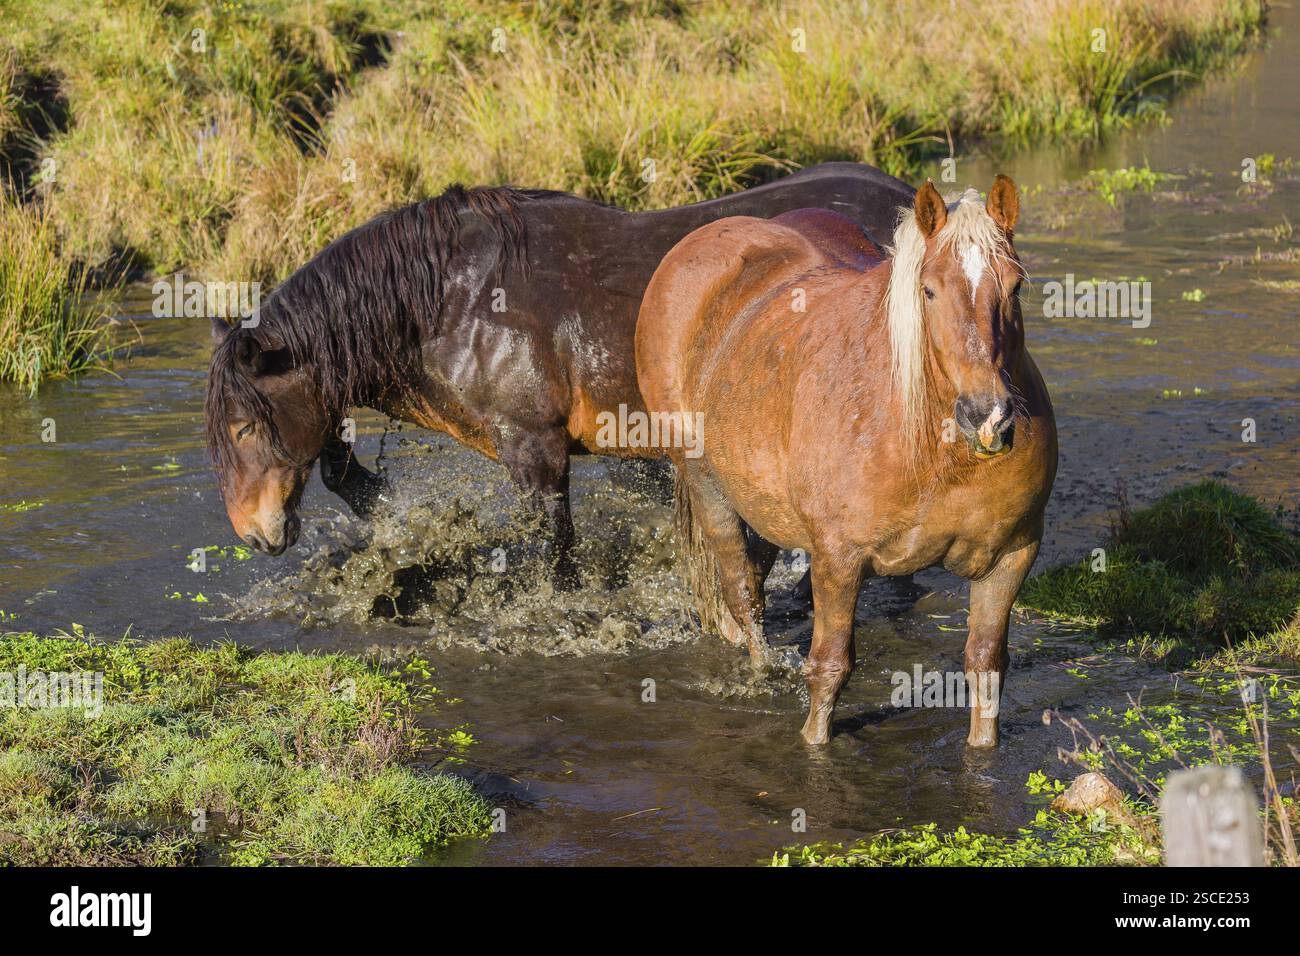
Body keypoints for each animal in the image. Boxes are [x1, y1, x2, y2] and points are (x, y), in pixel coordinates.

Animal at [204, 163, 915, 587]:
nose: (255, 536)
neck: (451, 301)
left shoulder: (535, 446)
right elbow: (339, 470)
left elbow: (556, 550)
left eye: (244, 430)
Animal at [634, 177, 1057, 748]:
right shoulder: (838, 558)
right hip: (706, 485)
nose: (985, 416)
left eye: (1014, 287)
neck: (933, 452)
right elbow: (830, 668)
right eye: (929, 290)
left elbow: (985, 666)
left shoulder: (1011, 555)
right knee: (743, 595)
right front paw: (814, 743)